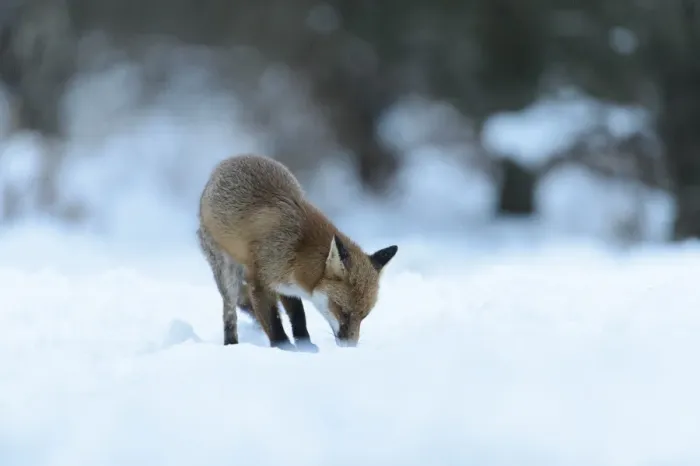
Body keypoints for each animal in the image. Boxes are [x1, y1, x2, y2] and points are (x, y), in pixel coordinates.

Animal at [196, 154, 398, 351]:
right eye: (343, 311)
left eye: (364, 316)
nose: (350, 348)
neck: (298, 247)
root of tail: (225, 163)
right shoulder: (259, 282)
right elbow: (273, 320)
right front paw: (284, 347)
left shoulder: (287, 286)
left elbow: (298, 316)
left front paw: (304, 346)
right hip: (227, 276)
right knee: (229, 313)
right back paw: (231, 344)